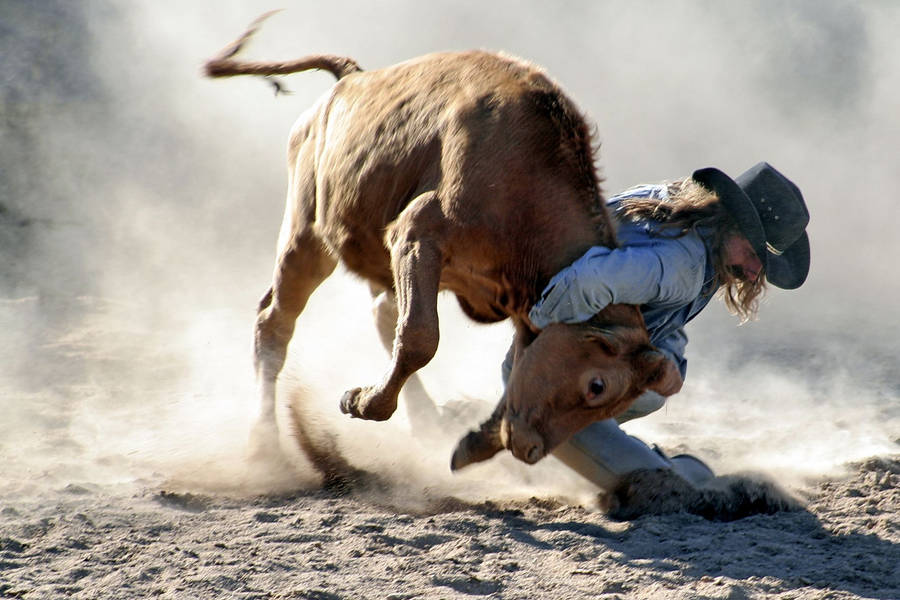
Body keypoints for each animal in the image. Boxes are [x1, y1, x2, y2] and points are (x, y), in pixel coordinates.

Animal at [204, 13, 679, 484]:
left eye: (623, 405)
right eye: (596, 385)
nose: (529, 451)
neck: (524, 178)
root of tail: (352, 81)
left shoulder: (518, 308)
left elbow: (507, 366)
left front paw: (473, 442)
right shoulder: (416, 234)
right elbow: (420, 338)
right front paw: (362, 403)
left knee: (379, 312)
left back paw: (426, 422)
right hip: (306, 236)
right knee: (275, 322)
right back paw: (264, 448)